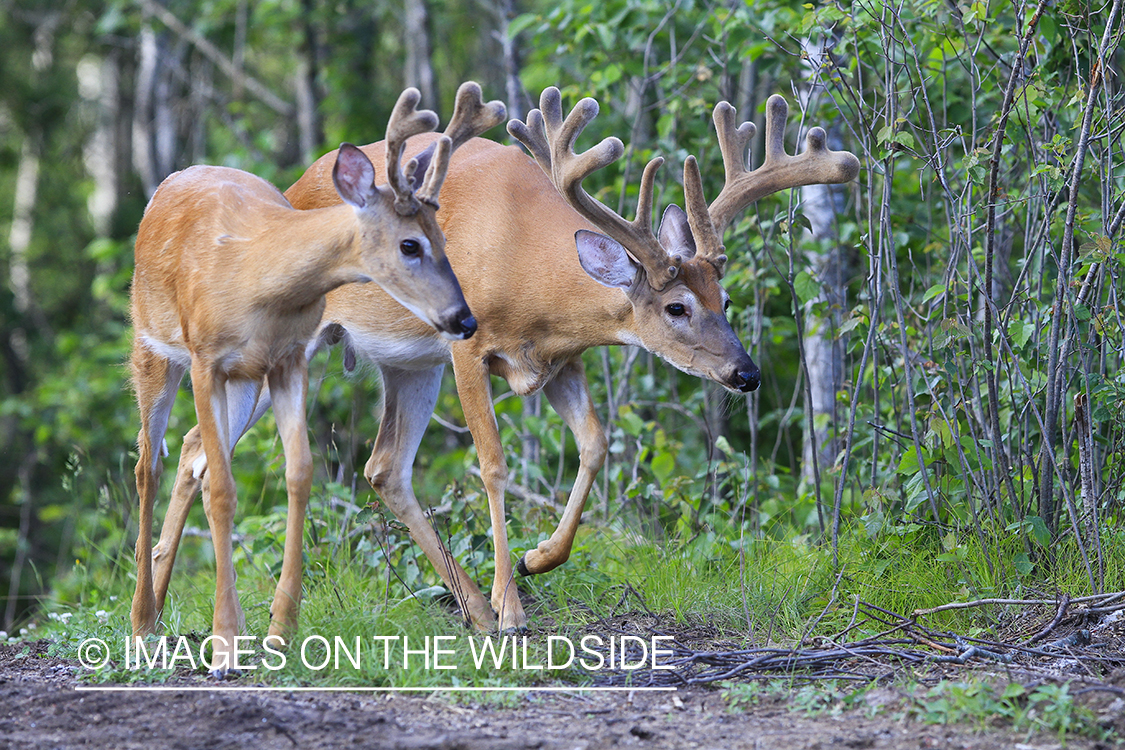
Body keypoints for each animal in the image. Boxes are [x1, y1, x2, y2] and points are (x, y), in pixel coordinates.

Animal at [126, 84, 501, 679]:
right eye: (410, 245)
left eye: (444, 236)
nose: (464, 320)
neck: (255, 279)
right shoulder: (207, 359)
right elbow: (224, 490)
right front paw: (226, 644)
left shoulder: (288, 359)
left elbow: (299, 474)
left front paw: (280, 631)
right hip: (153, 347)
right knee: (150, 463)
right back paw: (142, 622)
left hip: (244, 383)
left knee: (190, 456)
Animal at [145, 89, 855, 638]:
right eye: (677, 307)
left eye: (725, 300)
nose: (746, 373)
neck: (530, 269)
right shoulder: (467, 343)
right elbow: (493, 464)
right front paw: (514, 606)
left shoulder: (559, 360)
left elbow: (596, 442)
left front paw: (539, 561)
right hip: (294, 348)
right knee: (201, 445)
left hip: (408, 365)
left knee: (369, 466)